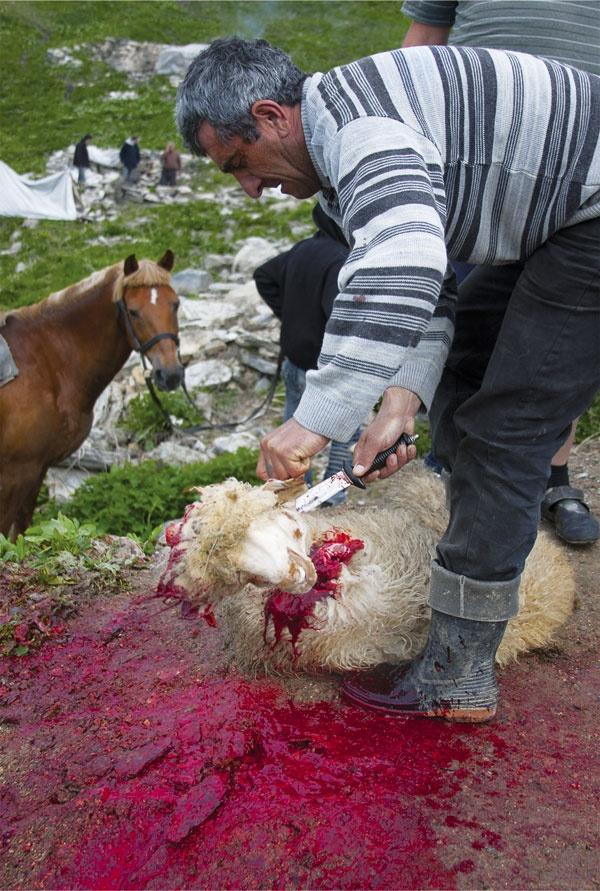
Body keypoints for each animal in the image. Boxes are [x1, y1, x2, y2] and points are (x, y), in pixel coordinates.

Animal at [0, 251, 184, 540]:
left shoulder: (36, 469)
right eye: (133, 311)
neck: (46, 361)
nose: (171, 373)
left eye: (175, 304)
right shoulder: (18, 470)